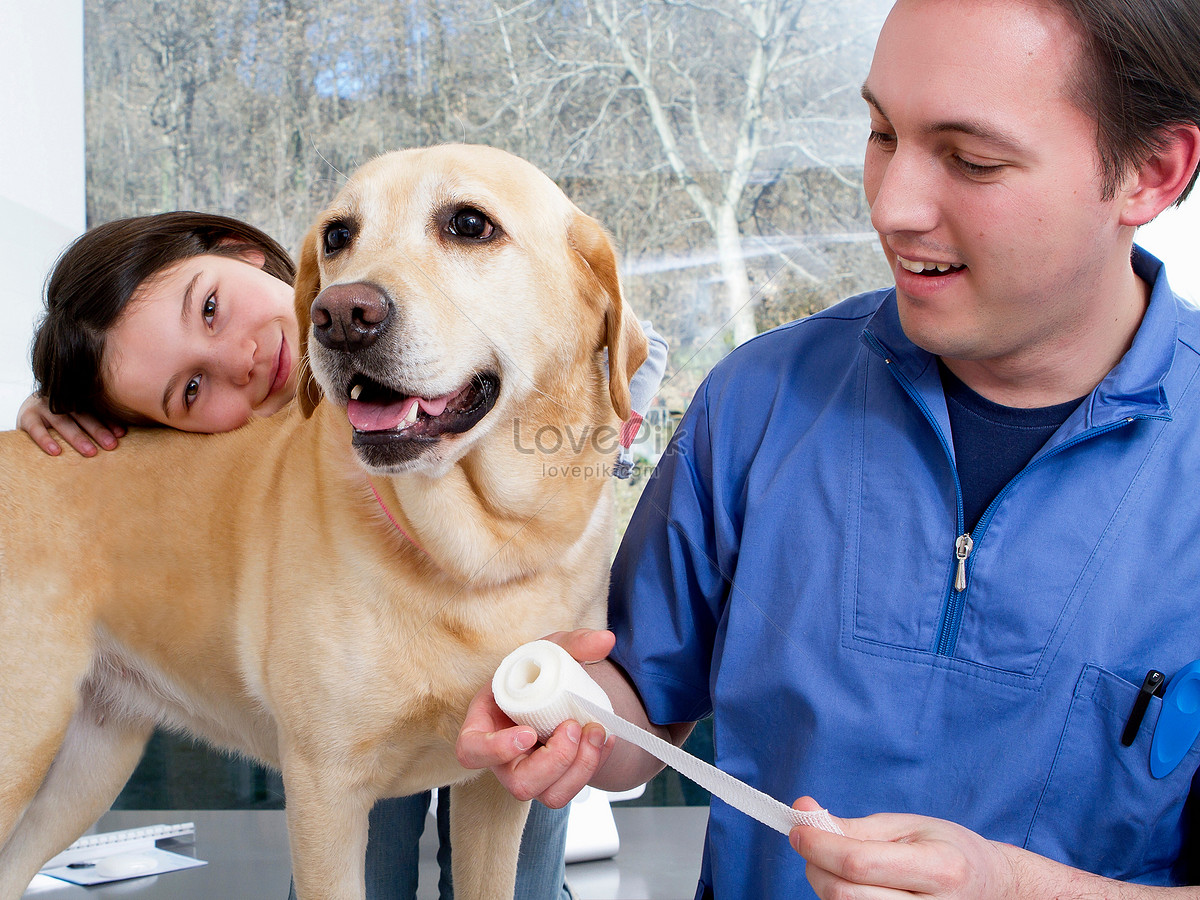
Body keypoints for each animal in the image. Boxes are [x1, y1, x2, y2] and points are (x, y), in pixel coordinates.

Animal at [0, 144, 648, 897]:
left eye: (469, 224)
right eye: (338, 236)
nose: (341, 314)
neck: (474, 555)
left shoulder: (498, 784)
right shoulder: (325, 791)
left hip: (85, 766)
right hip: (22, 744)